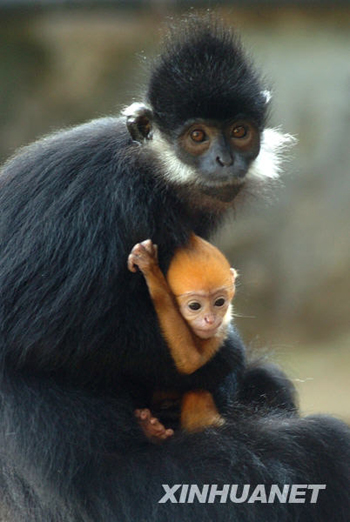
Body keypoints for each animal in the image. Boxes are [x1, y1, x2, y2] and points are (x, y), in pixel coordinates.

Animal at [127, 234, 237, 436]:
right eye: (195, 306)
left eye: (219, 302)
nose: (210, 319)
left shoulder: (220, 329)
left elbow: (190, 361)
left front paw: (151, 271)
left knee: (197, 392)